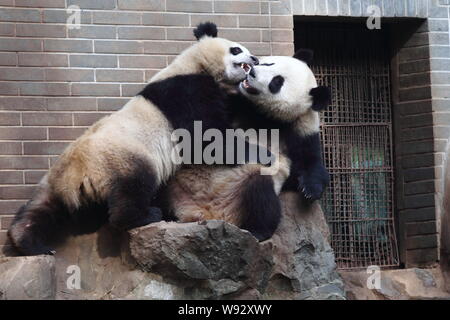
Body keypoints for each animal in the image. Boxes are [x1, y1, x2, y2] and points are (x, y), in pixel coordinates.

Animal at [7, 21, 260, 255]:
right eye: (236, 49)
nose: (256, 59)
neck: (195, 64)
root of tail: (77, 174)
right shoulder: (186, 93)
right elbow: (209, 139)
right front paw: (258, 153)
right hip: (123, 159)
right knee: (134, 188)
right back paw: (146, 215)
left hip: (54, 183)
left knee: (43, 210)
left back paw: (29, 243)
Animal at [158, 50, 330, 240]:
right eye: (268, 64)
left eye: (277, 82)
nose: (252, 72)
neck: (265, 116)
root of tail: (204, 214)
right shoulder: (234, 104)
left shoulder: (301, 129)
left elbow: (309, 161)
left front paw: (310, 190)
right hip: (175, 184)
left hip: (239, 195)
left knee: (261, 191)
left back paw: (257, 232)